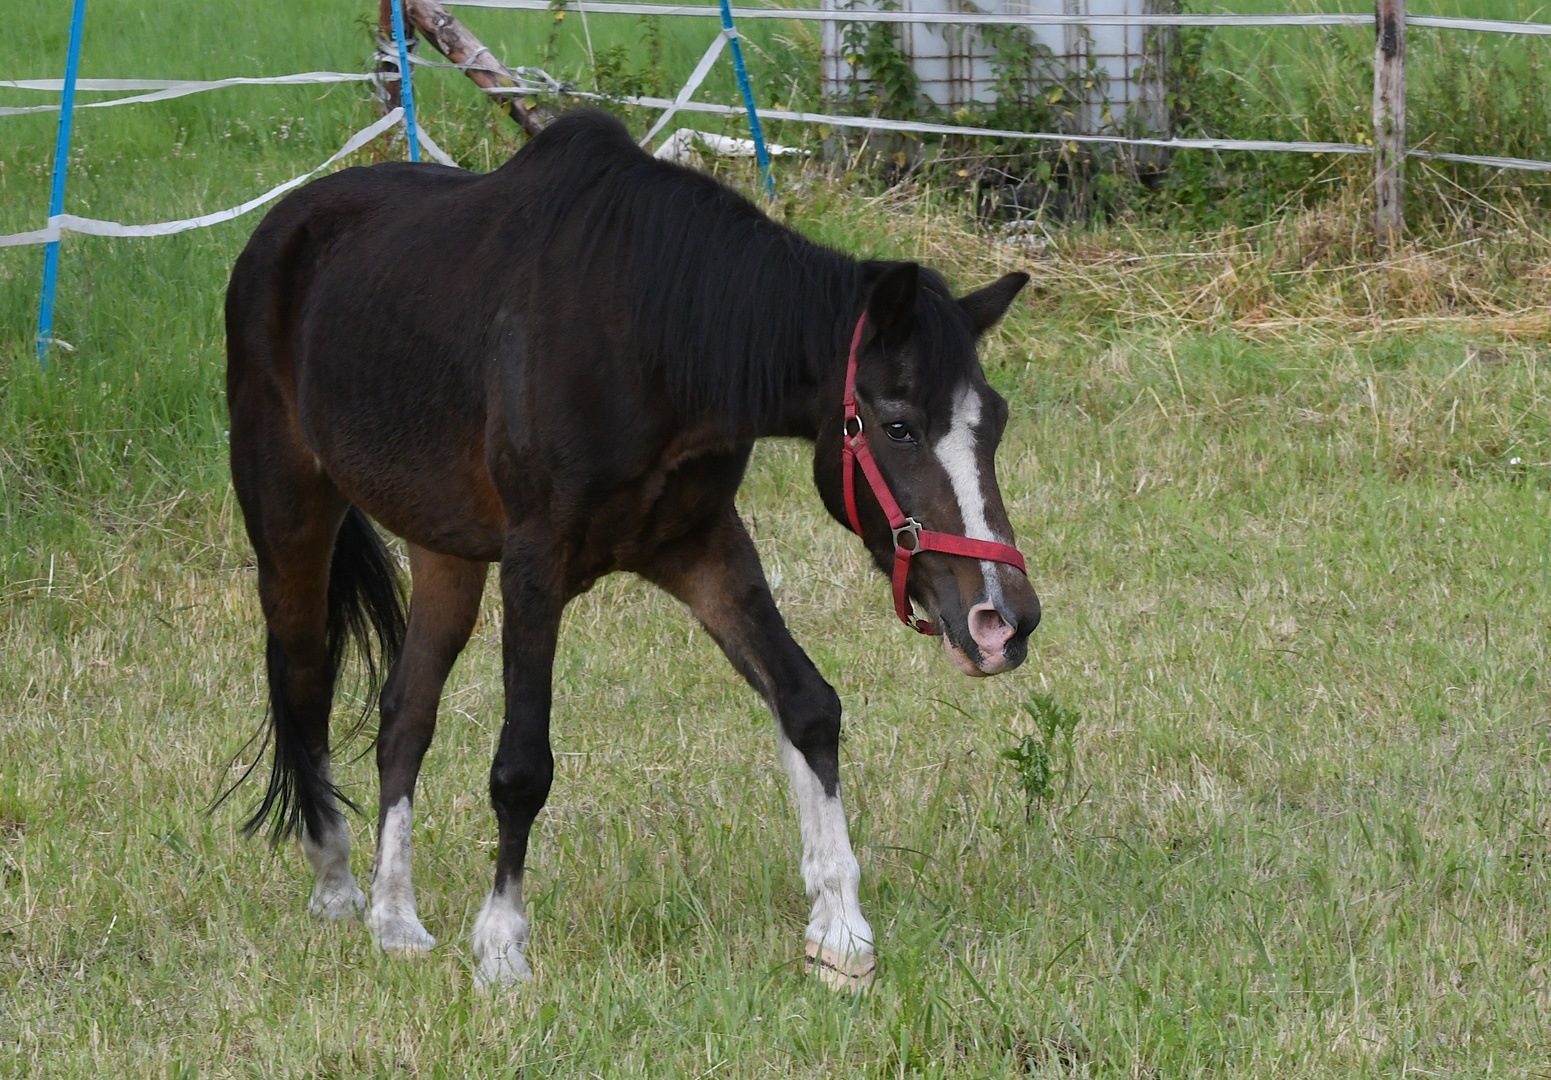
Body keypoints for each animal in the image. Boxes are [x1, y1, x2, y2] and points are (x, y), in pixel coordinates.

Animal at [221, 107, 1042, 986]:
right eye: (897, 425)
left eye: (994, 422)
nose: (1003, 621)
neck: (649, 337)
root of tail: (281, 227)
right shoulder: (534, 565)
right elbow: (521, 767)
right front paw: (502, 946)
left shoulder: (700, 546)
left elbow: (807, 706)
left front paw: (840, 930)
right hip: (292, 524)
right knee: (304, 685)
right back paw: (337, 885)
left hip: (446, 552)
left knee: (404, 716)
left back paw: (395, 916)